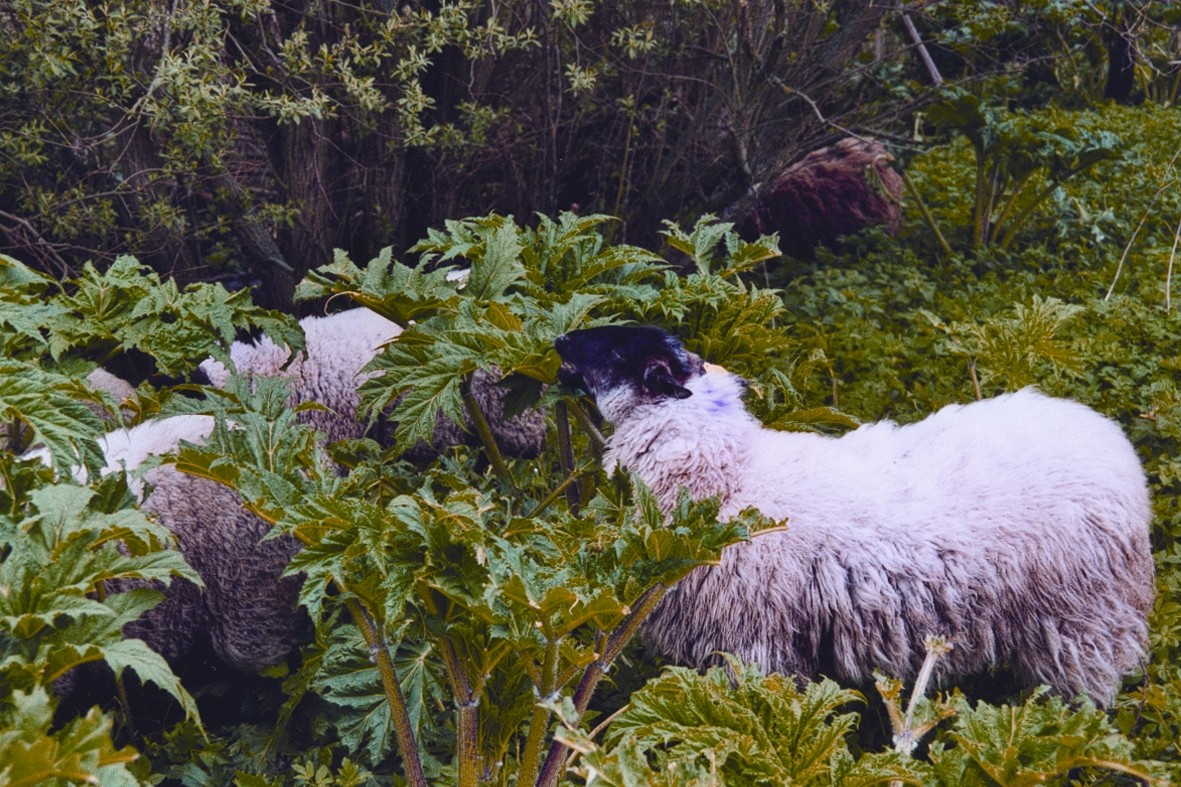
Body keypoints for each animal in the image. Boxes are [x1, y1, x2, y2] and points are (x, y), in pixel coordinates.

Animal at [552, 323, 1152, 704]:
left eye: (616, 351)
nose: (559, 340)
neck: (727, 474)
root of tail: (1112, 444)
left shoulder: (752, 642)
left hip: (1082, 624)